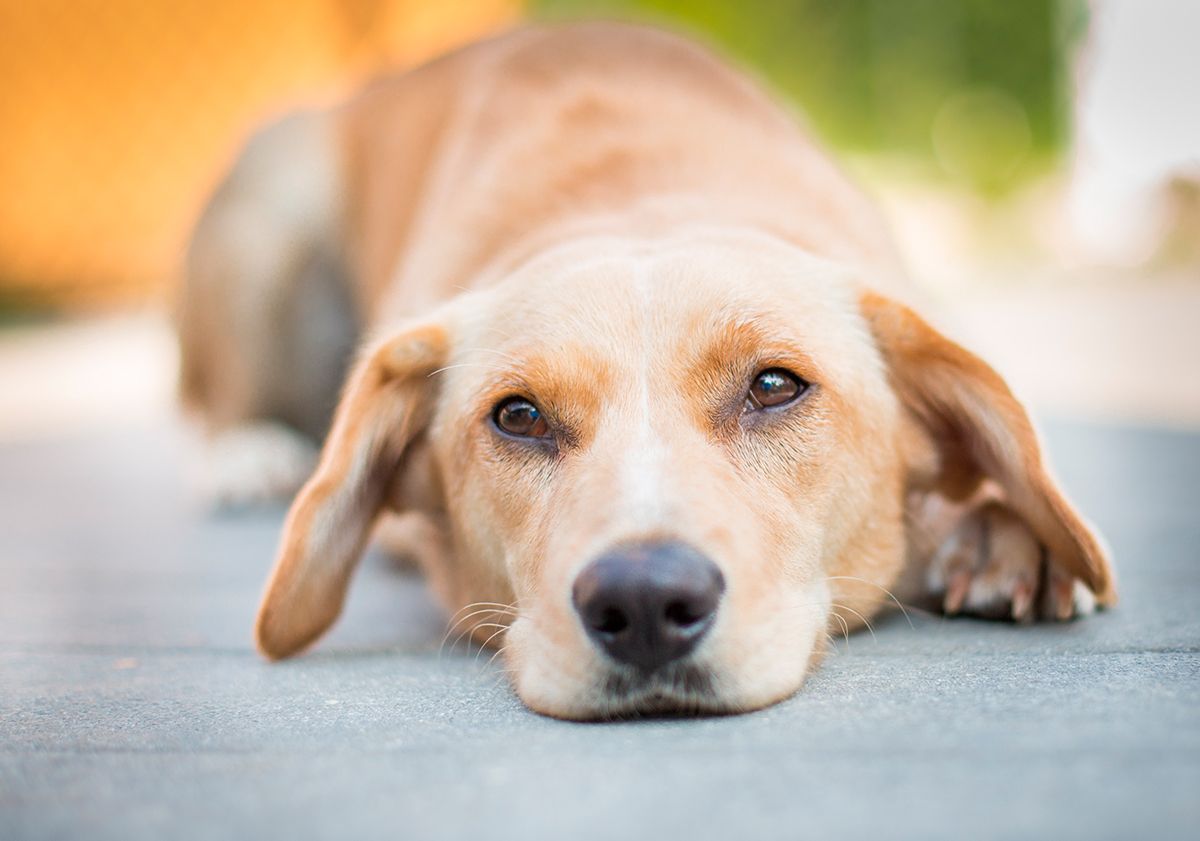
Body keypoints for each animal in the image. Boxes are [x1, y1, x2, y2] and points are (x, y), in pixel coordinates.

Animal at [177, 21, 1113, 715]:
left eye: (774, 385)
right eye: (518, 415)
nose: (645, 604)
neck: (644, 202)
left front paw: (995, 531)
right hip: (267, 207)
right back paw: (247, 452)